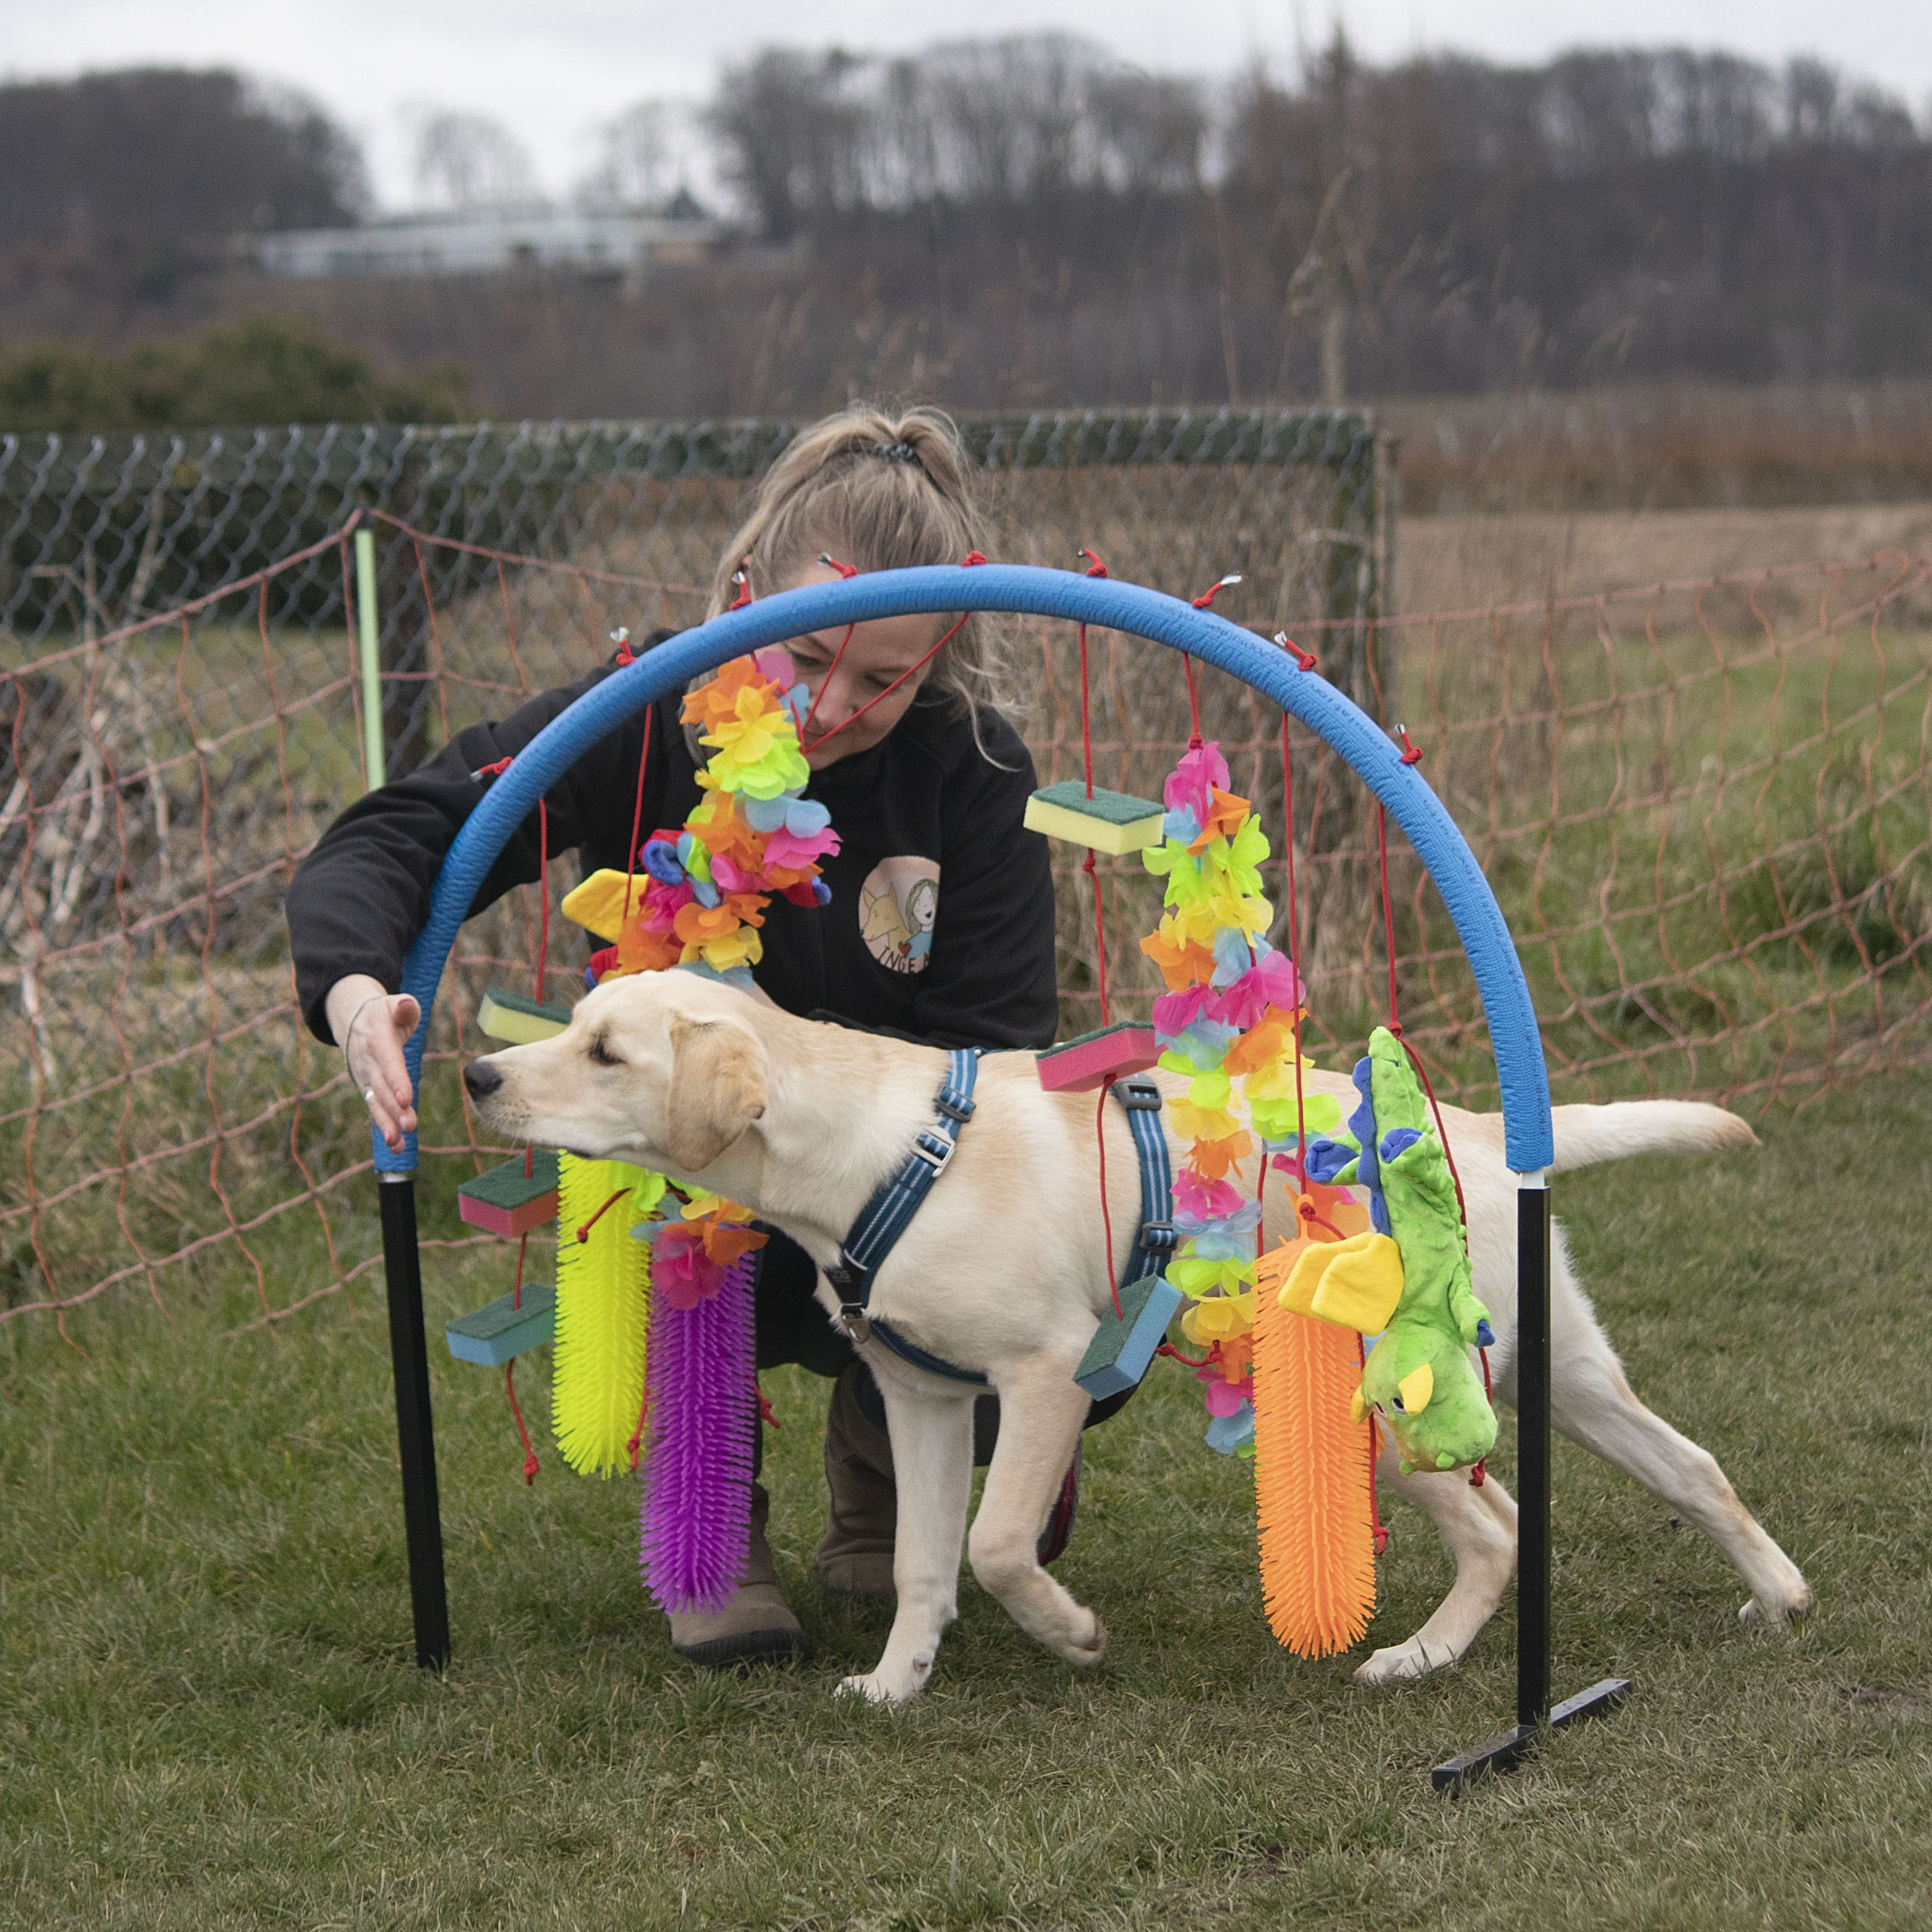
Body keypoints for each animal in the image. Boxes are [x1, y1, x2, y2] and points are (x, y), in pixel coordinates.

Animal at [463, 974, 1808, 1700]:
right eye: (573, 1024)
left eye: (606, 1051)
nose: (475, 1077)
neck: (885, 1157)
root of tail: (1472, 1132)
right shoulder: (922, 1400)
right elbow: (921, 1561)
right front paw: (897, 1684)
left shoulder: (1043, 1379)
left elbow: (1000, 1546)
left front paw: (1071, 1634)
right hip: (1560, 1372)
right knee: (1688, 1470)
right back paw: (1779, 1596)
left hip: (1389, 1405)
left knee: (1498, 1530)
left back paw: (1418, 1659)